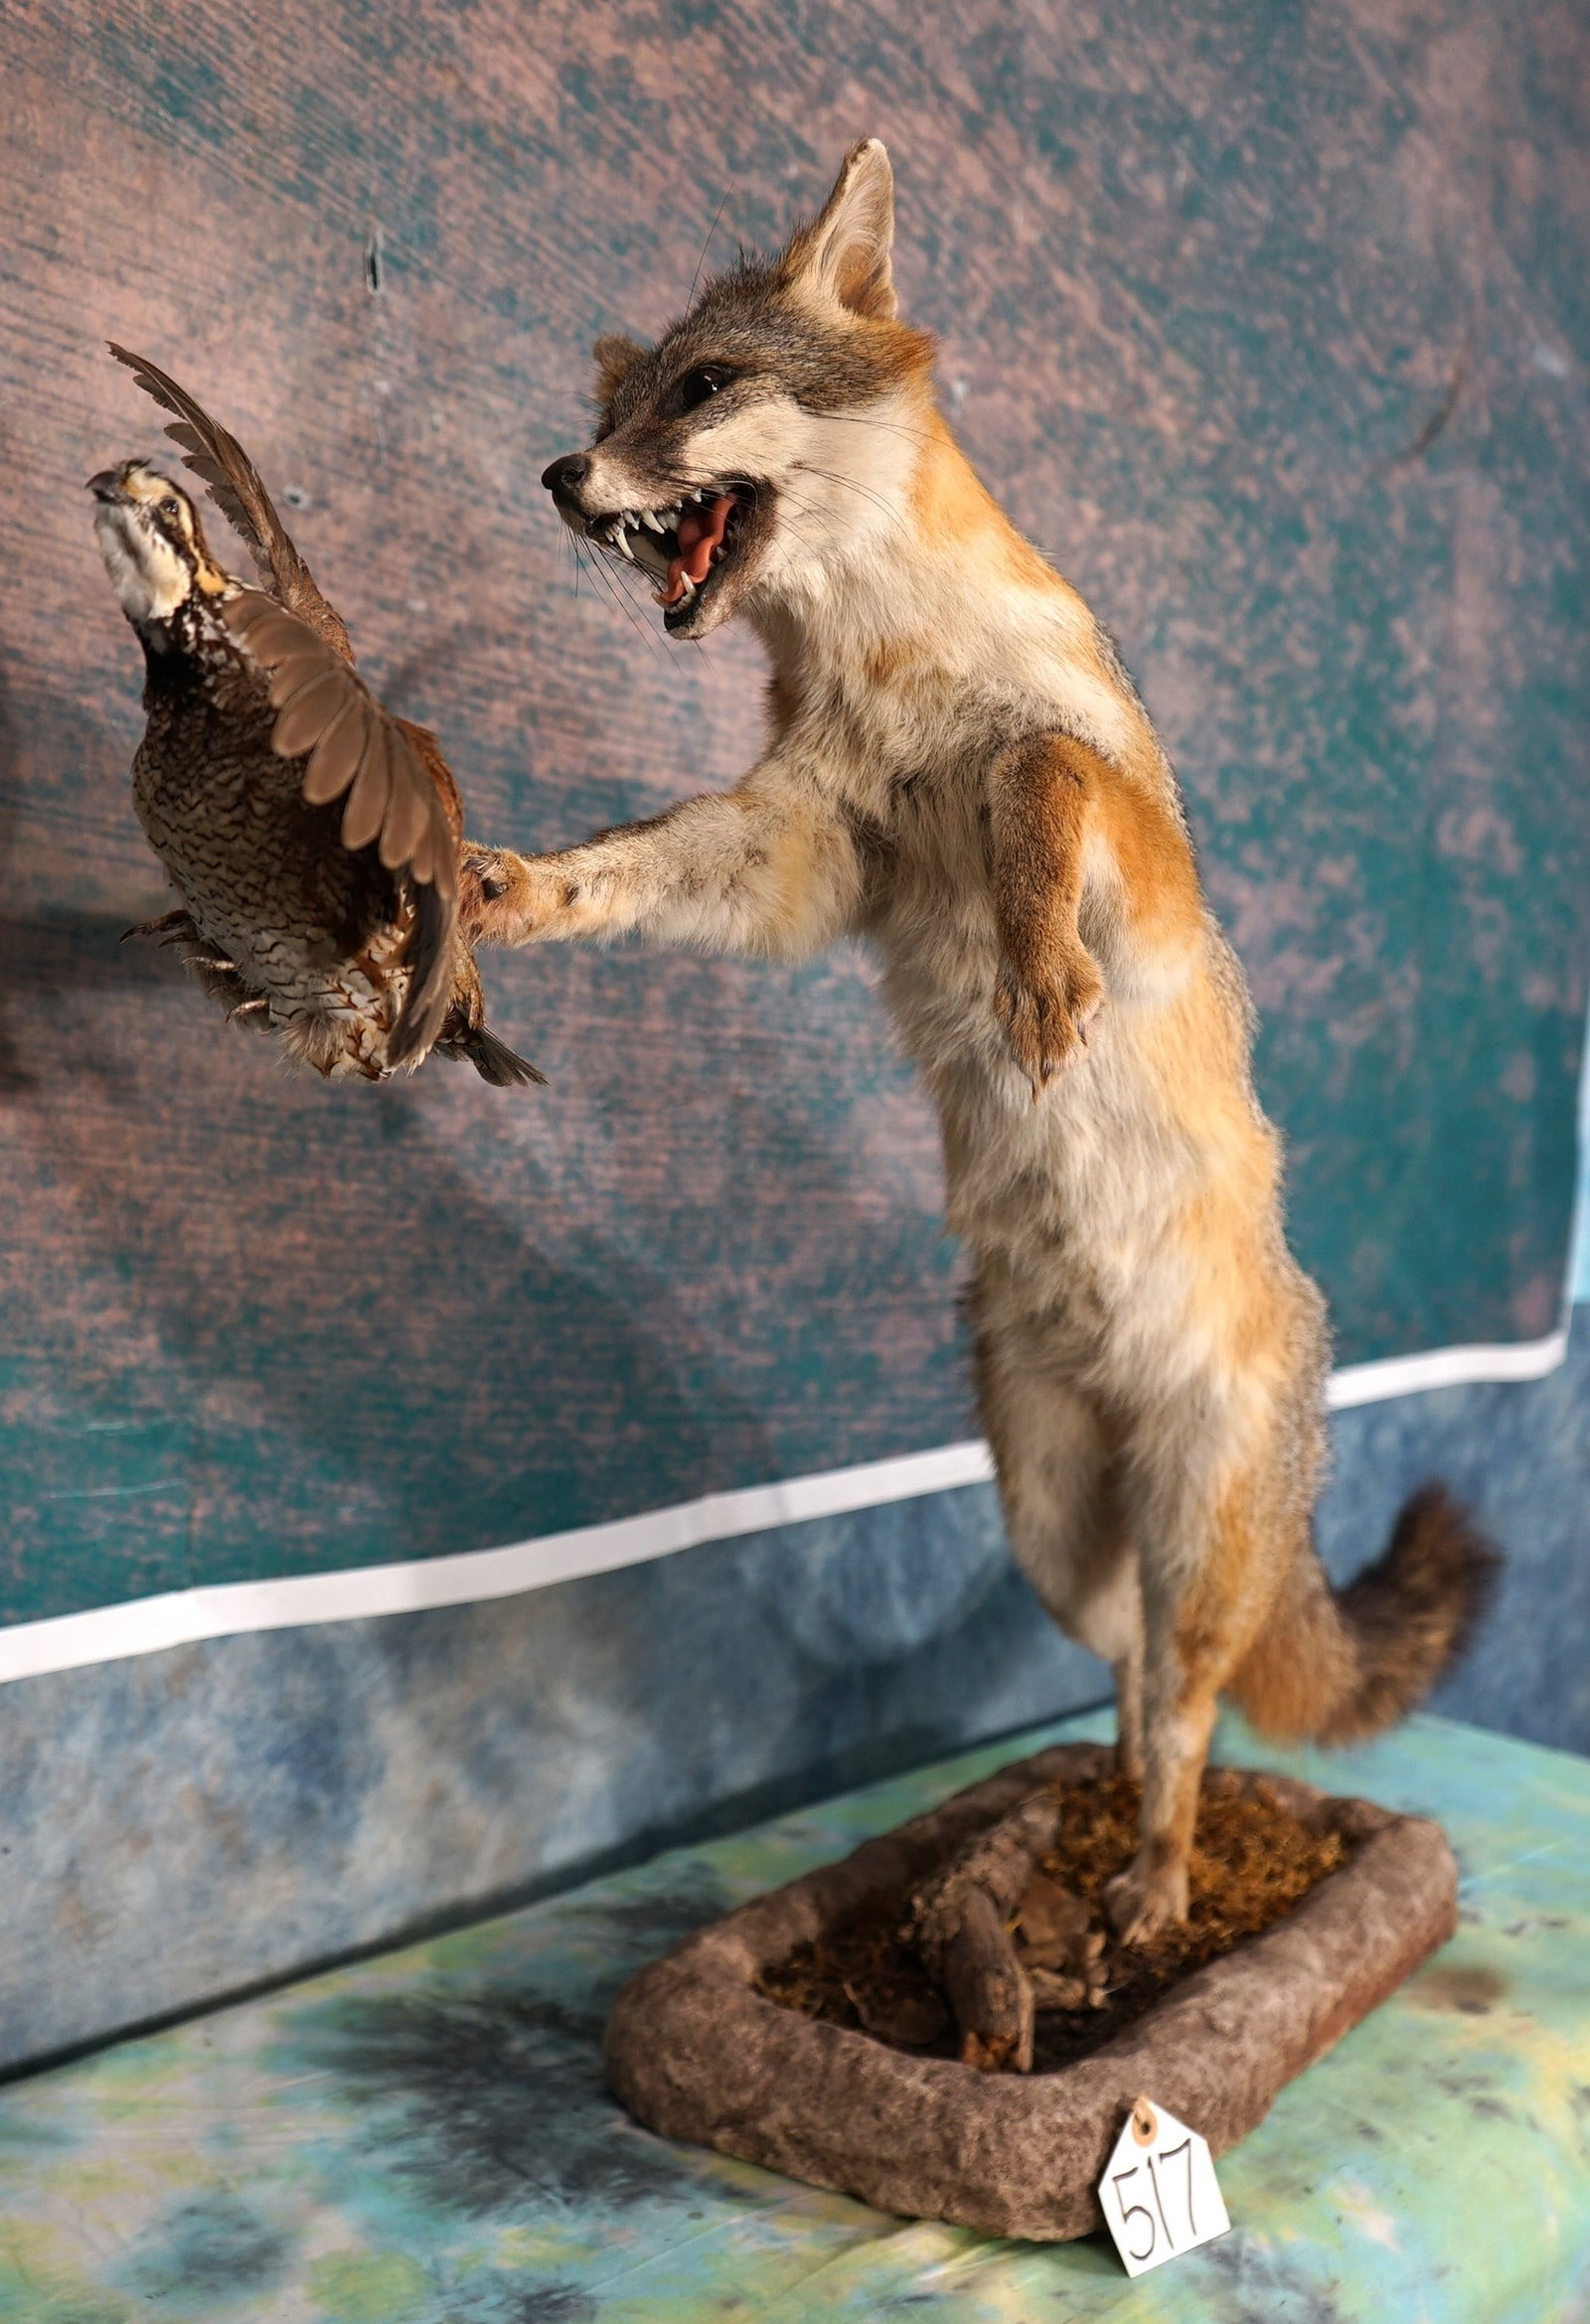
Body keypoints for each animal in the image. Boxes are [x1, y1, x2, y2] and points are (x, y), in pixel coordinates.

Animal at [466, 140, 1497, 1944]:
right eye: (620, 401)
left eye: (705, 386)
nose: (559, 472)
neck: (891, 677)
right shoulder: (802, 853)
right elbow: (639, 863)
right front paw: (524, 889)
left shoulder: (1133, 845)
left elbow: (1043, 770)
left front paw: (1033, 963)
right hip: (1054, 1529)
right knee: (1138, 1685)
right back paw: (1098, 1822)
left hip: (1196, 1537)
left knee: (1199, 1704)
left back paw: (1160, 1873)